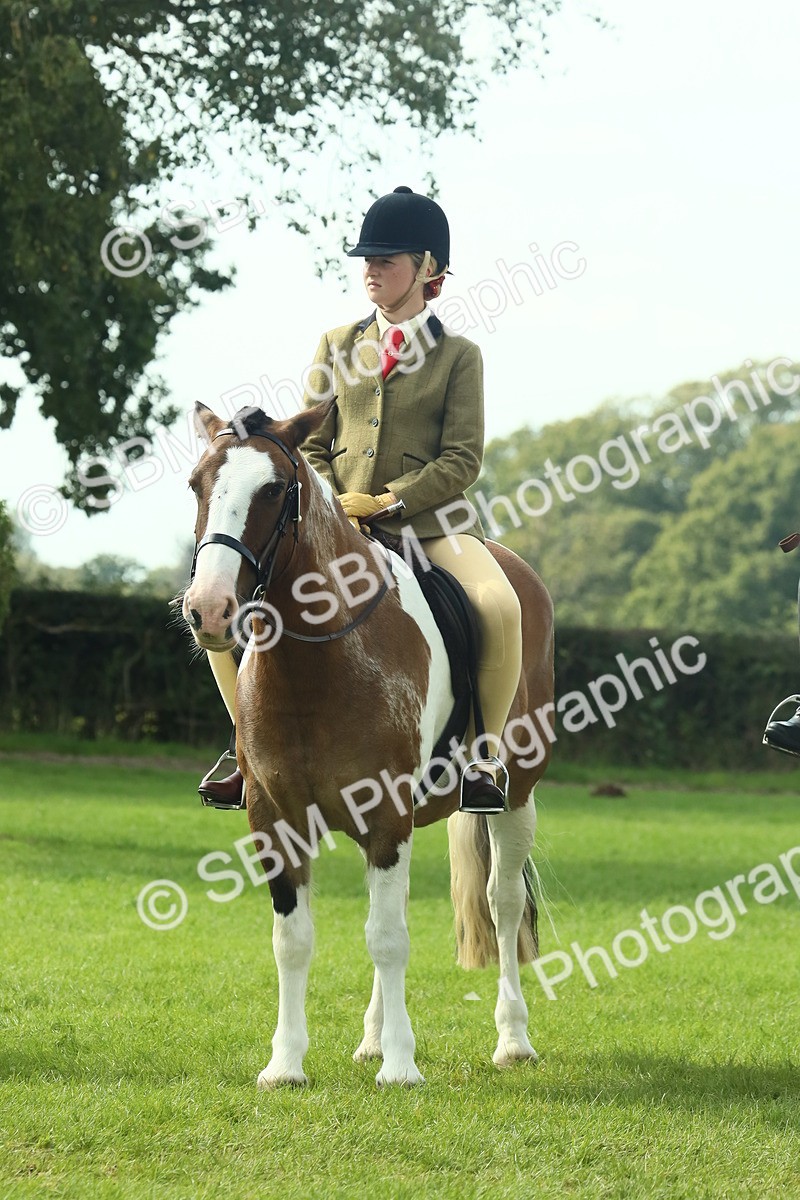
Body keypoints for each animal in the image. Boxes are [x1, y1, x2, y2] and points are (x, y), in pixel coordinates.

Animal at [182, 399, 555, 1088]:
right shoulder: (276, 817)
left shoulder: (386, 810)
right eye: (197, 484)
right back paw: (374, 1038)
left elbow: (388, 938)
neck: (314, 663)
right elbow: (293, 940)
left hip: (516, 798)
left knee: (503, 903)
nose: (210, 610)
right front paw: (286, 1064)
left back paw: (512, 1039)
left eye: (273, 490)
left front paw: (403, 1068)